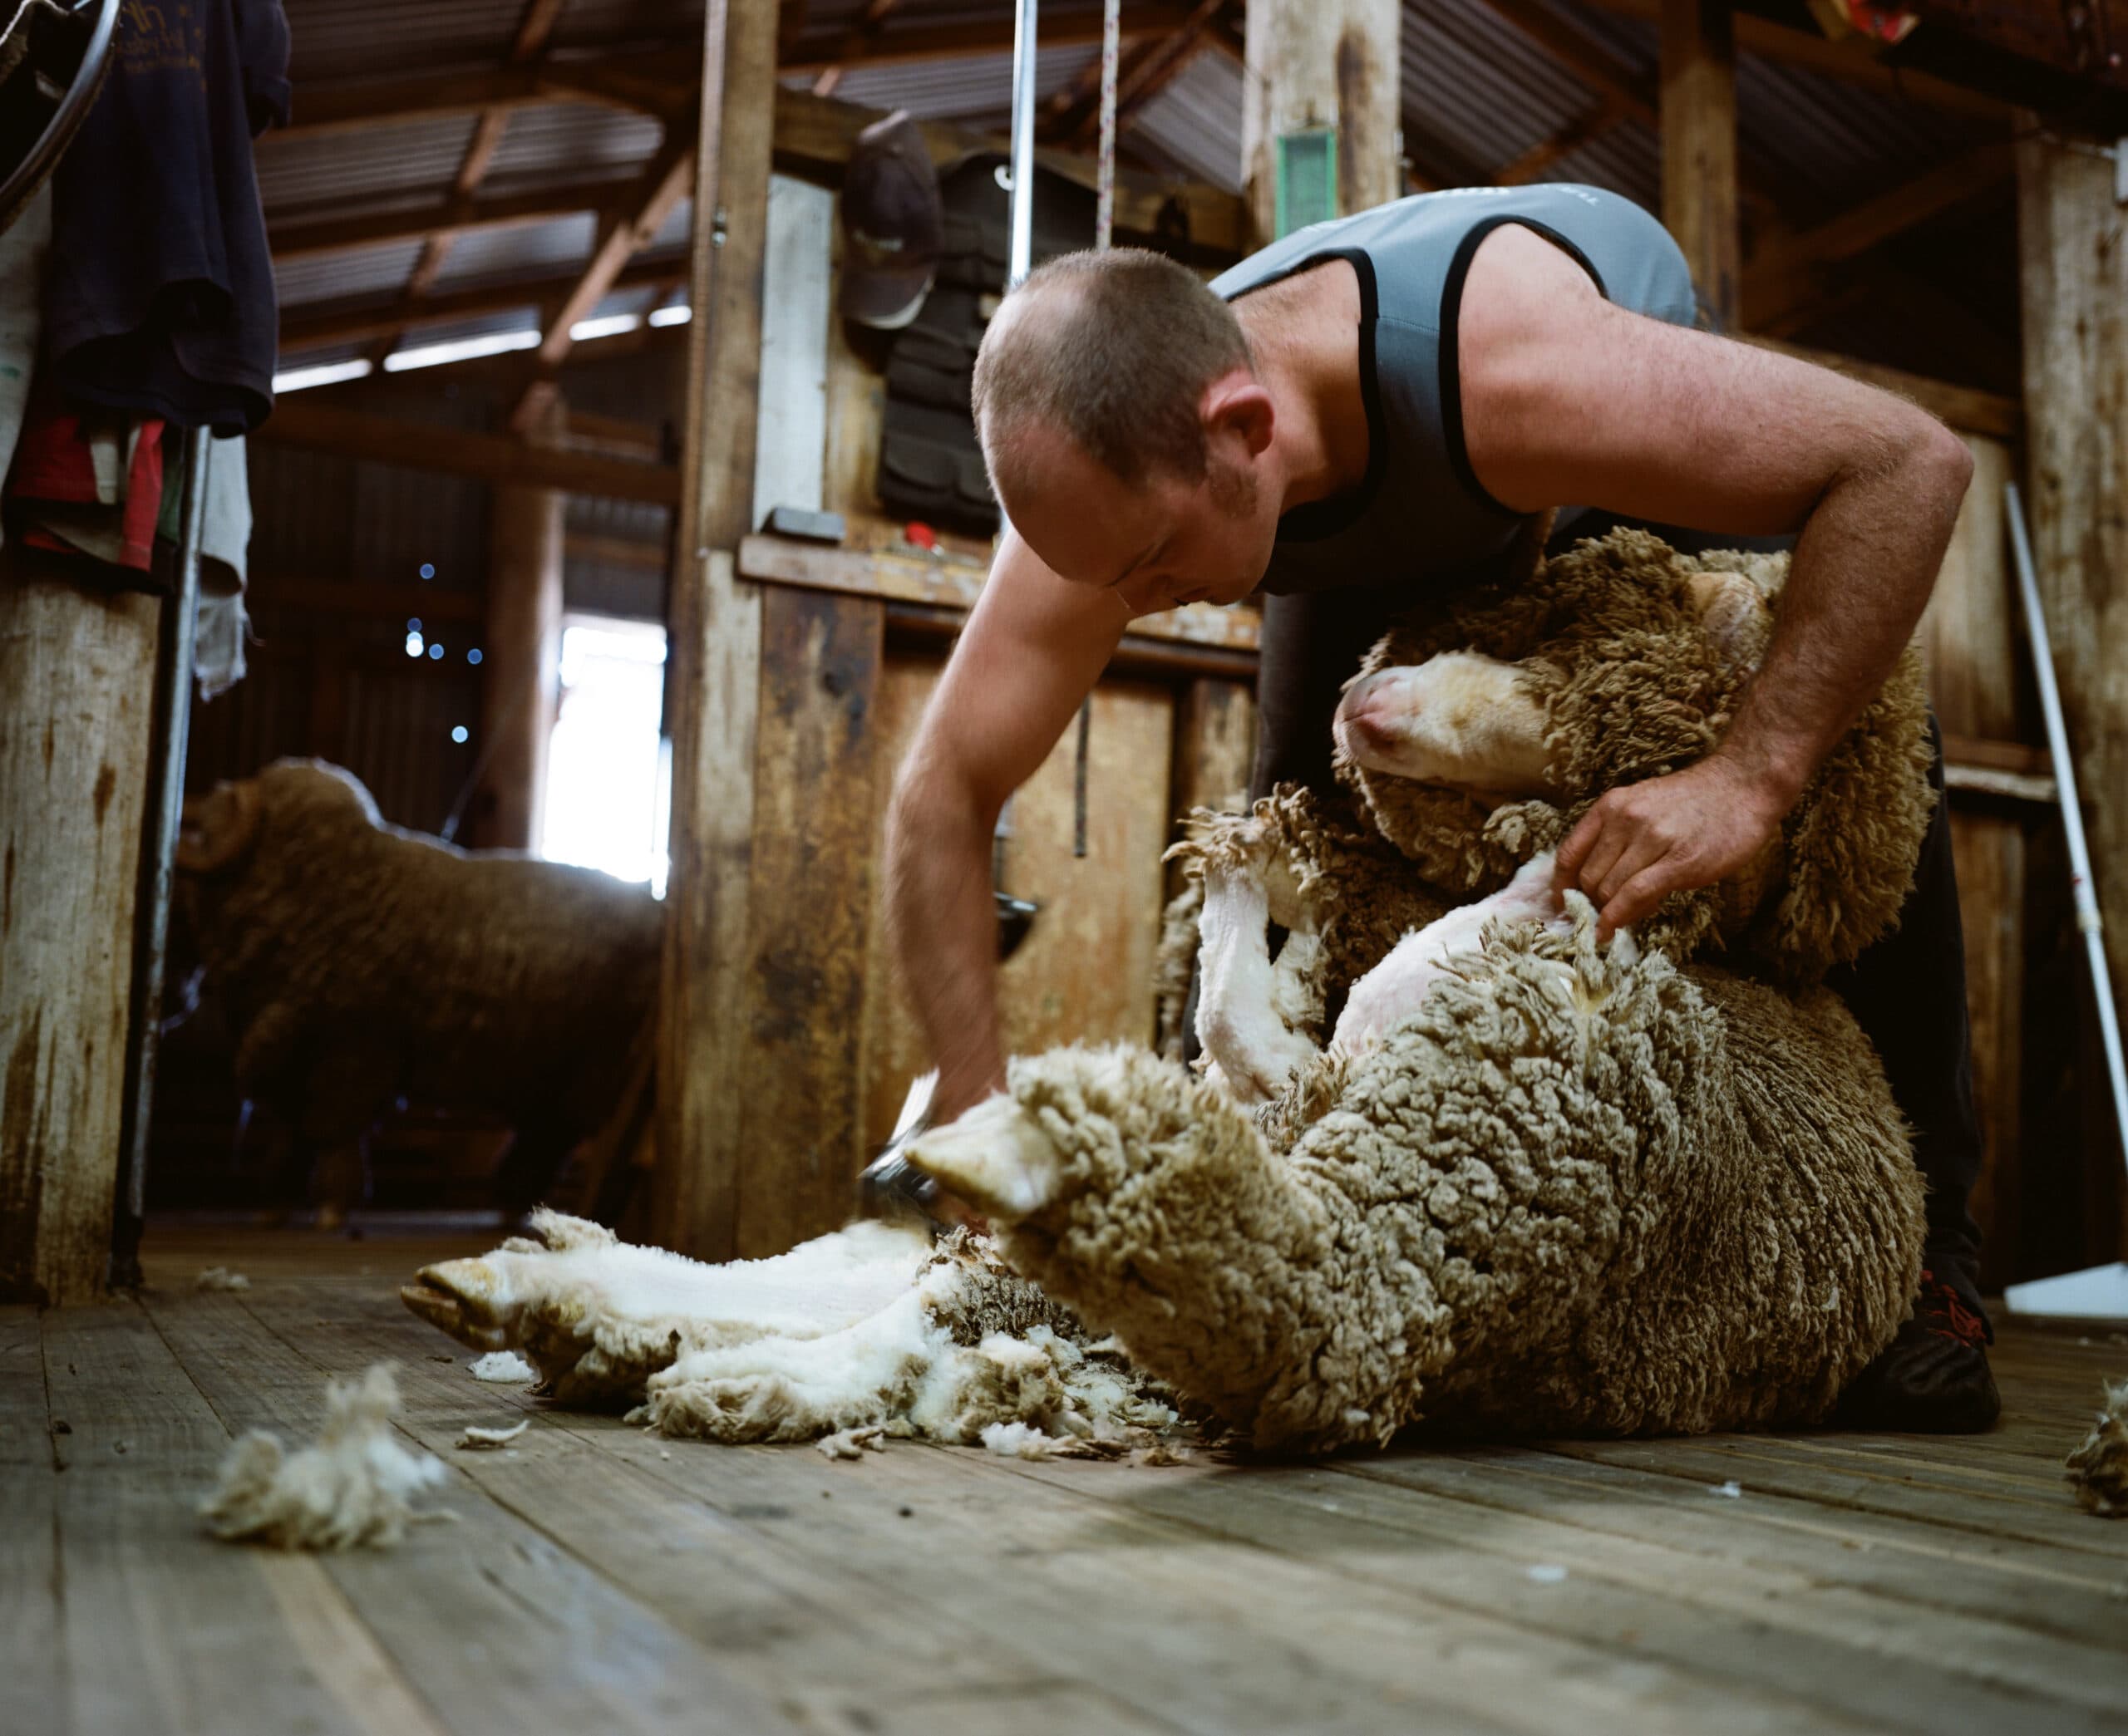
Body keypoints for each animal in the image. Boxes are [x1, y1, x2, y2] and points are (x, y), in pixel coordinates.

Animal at [174, 757, 655, 1217]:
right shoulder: (295, 1051)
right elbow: (291, 1134)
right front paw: (274, 1204)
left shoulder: (357, 1049)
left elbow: (332, 1130)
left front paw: (333, 1206)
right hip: (549, 1079)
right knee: (540, 1141)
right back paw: (512, 1204)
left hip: (594, 1073)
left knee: (559, 1140)